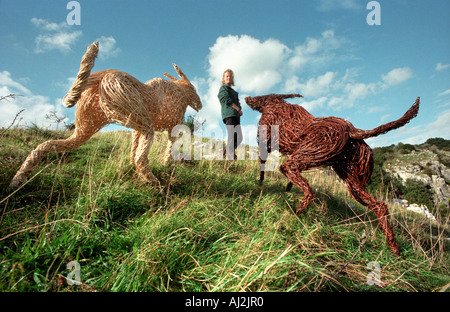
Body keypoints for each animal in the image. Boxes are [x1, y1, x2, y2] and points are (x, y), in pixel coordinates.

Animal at [9, 41, 202, 188]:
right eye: (193, 88)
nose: (200, 105)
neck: (179, 92)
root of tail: (101, 77)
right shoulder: (172, 126)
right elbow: (166, 148)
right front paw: (165, 164)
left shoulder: (136, 128)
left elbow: (133, 147)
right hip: (142, 123)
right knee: (141, 158)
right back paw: (155, 183)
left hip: (87, 125)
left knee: (45, 145)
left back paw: (16, 180)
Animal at [244, 94, 420, 255]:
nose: (247, 98)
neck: (274, 104)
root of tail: (352, 131)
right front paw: (284, 188)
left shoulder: (267, 138)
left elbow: (262, 162)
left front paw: (262, 183)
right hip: (352, 181)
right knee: (380, 206)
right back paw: (394, 248)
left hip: (306, 158)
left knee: (307, 189)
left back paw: (296, 212)